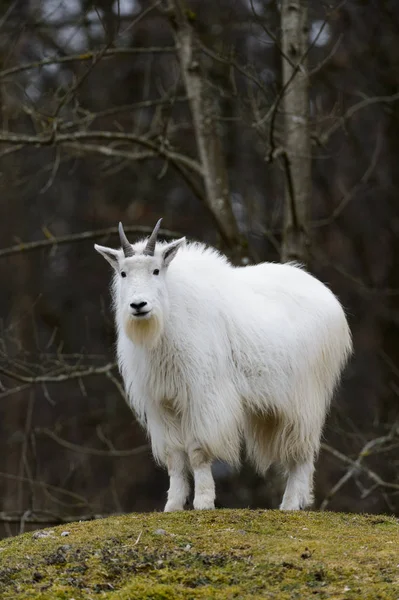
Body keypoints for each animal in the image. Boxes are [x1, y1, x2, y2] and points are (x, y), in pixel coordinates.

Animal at [96, 220, 354, 510]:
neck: (168, 318)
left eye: (155, 270)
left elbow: (197, 450)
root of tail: (330, 299)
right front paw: (172, 505)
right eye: (123, 273)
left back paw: (290, 504)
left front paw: (203, 501)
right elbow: (175, 455)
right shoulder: (162, 402)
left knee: (302, 451)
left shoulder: (201, 396)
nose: (139, 305)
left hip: (305, 398)